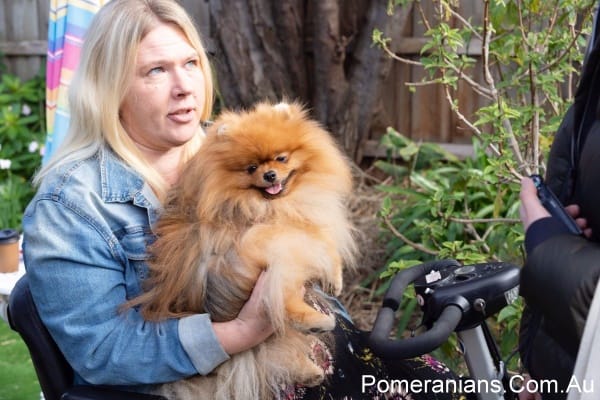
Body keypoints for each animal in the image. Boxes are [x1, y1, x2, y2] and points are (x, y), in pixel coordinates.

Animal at [132, 101, 356, 398]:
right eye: (251, 168)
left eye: (281, 158)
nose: (269, 175)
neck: (274, 204)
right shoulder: (287, 230)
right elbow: (318, 241)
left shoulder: (307, 222)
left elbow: (327, 245)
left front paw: (335, 280)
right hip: (265, 254)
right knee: (281, 298)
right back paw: (314, 321)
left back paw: (309, 371)